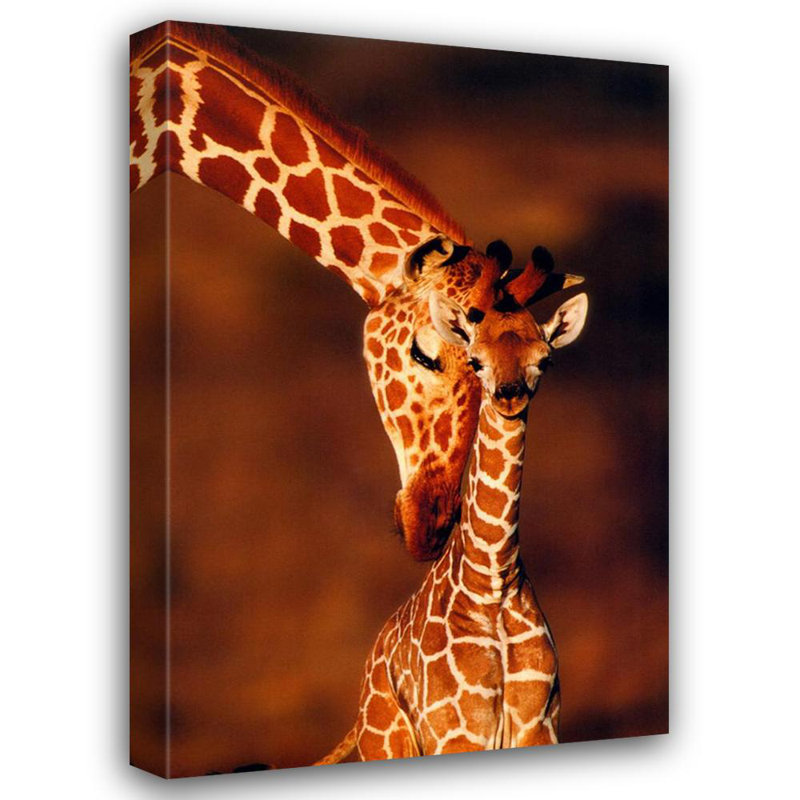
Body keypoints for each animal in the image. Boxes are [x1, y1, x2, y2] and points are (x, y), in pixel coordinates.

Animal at [316, 265, 589, 763]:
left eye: (545, 359)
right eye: (476, 360)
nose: (509, 395)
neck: (493, 580)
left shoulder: (538, 726)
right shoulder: (457, 733)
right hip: (390, 745)